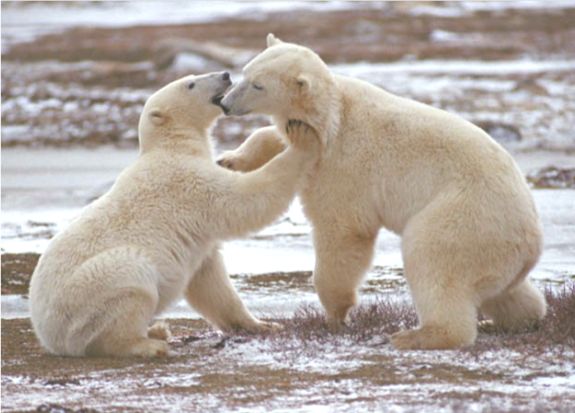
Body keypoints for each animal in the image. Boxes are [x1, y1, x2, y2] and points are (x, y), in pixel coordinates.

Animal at [29, 71, 322, 358]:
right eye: (190, 84)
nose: (225, 74)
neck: (170, 146)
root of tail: (47, 334)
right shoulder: (187, 182)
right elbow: (244, 200)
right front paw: (302, 138)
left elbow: (210, 282)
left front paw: (263, 325)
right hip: (90, 292)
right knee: (130, 282)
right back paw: (149, 343)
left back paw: (157, 330)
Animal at [218, 35, 548, 350]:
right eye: (245, 72)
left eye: (258, 84)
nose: (224, 103)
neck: (332, 114)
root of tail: (531, 243)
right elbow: (277, 139)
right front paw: (229, 160)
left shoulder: (343, 164)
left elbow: (343, 231)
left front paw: (336, 314)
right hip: (497, 252)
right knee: (506, 291)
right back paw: (516, 319)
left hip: (466, 219)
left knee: (433, 262)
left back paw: (416, 336)